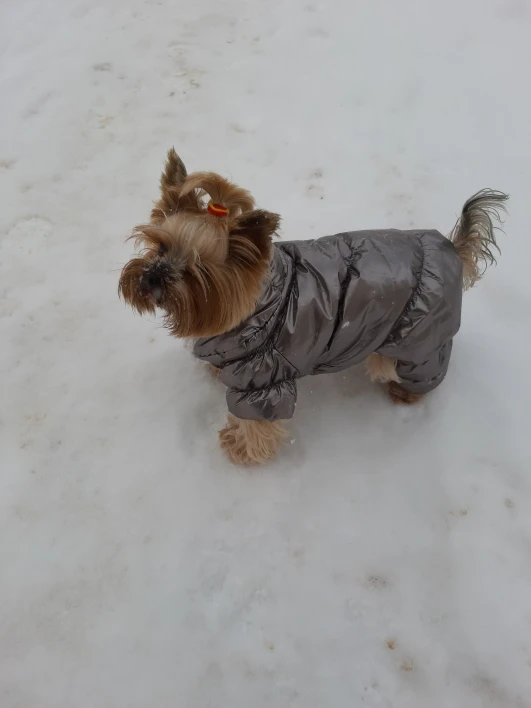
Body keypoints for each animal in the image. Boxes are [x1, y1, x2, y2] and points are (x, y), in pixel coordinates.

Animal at [119, 149, 508, 464]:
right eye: (160, 247)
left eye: (196, 270)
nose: (151, 278)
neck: (255, 305)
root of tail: (451, 248)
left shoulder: (265, 380)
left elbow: (255, 421)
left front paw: (240, 448)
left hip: (417, 341)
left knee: (420, 369)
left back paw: (404, 393)